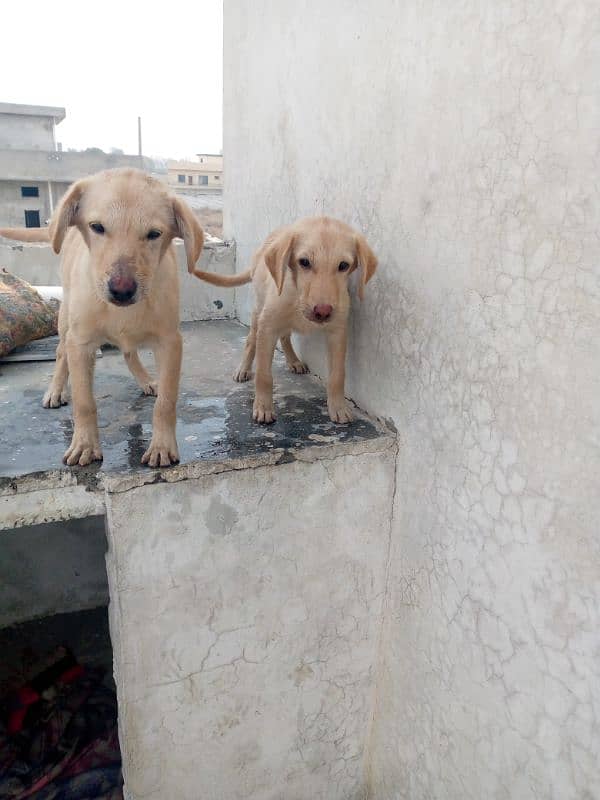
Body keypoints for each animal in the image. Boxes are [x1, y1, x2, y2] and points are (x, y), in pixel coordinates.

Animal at [0, 169, 204, 468]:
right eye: (97, 227)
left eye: (154, 234)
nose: (122, 290)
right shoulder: (81, 343)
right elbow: (84, 402)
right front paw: (84, 444)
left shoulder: (170, 342)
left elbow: (165, 402)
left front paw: (162, 446)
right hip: (65, 320)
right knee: (61, 353)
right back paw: (55, 391)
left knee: (129, 353)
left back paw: (146, 381)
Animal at [192, 212, 378, 424]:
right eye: (304, 262)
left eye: (344, 265)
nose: (322, 311)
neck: (297, 296)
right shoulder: (267, 327)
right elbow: (264, 375)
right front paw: (263, 408)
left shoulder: (337, 331)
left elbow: (338, 375)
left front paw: (338, 407)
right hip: (258, 311)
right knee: (251, 340)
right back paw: (243, 369)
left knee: (285, 336)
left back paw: (294, 361)